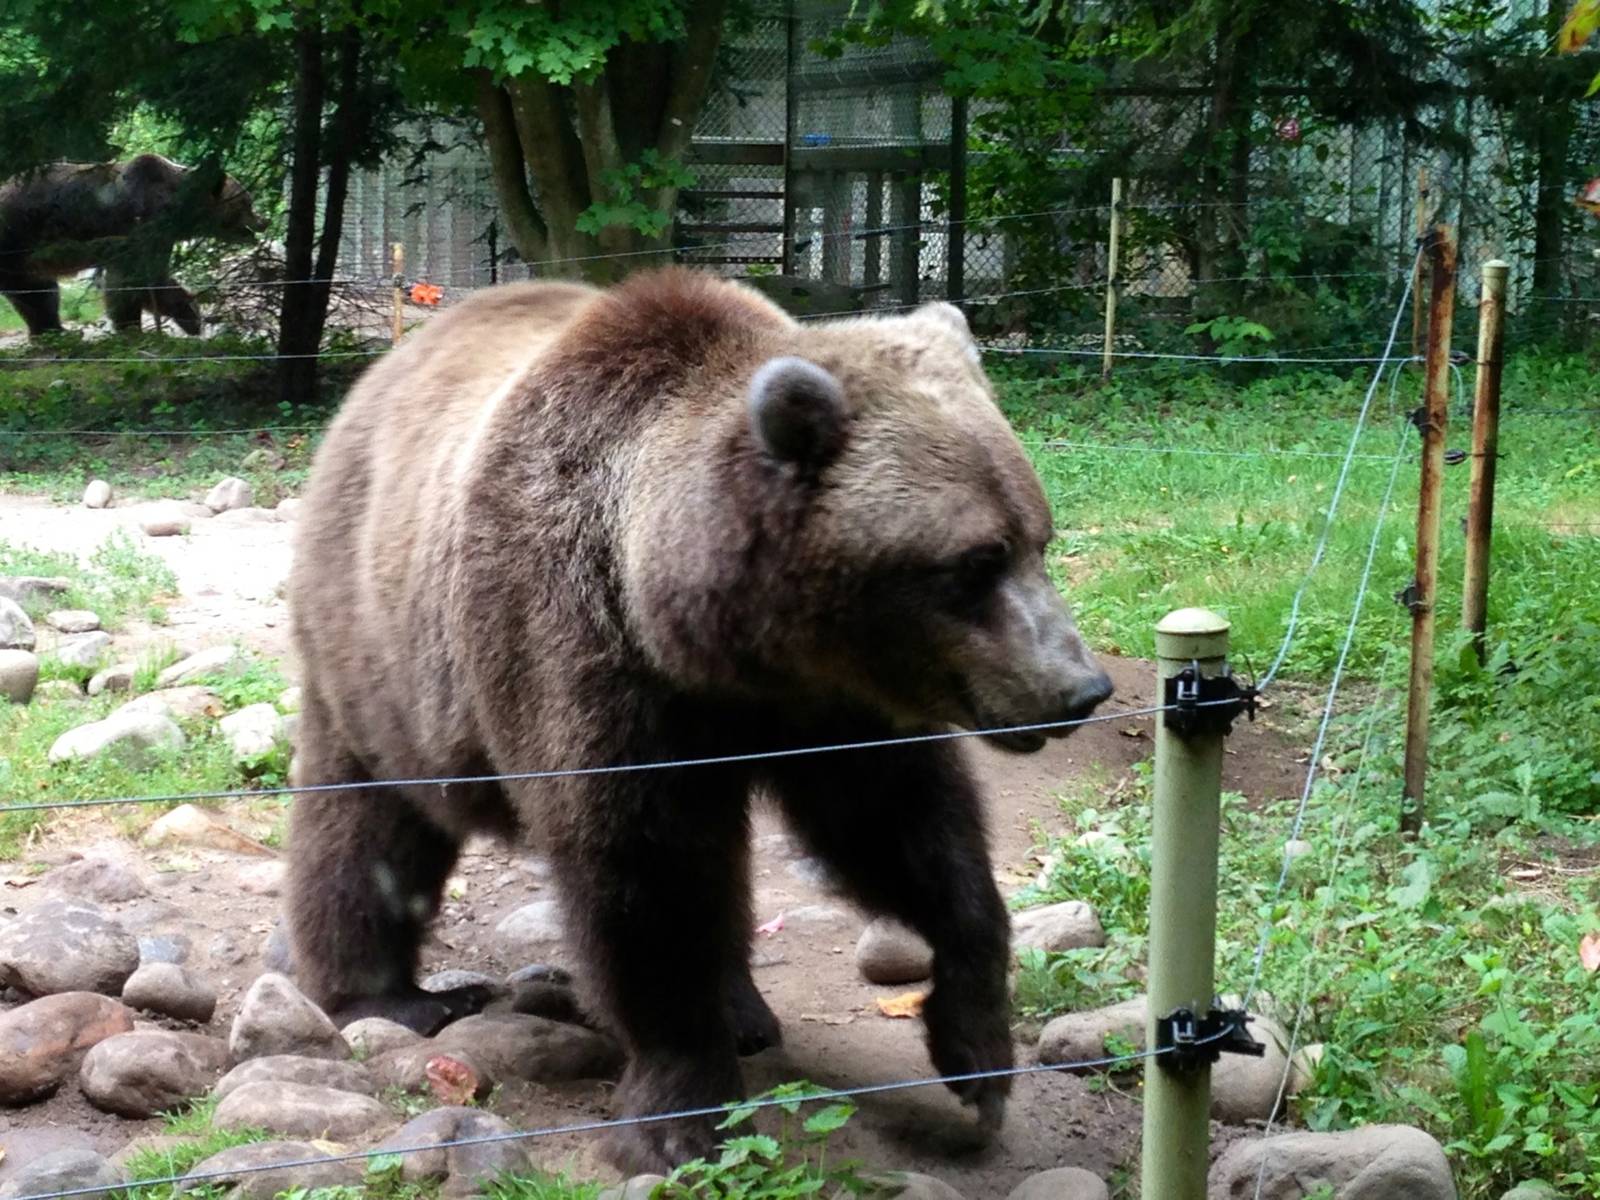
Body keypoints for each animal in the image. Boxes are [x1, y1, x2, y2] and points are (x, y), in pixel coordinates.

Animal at [0, 153, 265, 338]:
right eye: (247, 202)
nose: (264, 221)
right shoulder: (140, 222)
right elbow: (130, 281)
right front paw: (131, 326)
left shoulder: (159, 235)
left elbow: (153, 278)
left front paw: (190, 315)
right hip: (17, 239)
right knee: (33, 293)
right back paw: (51, 330)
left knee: (42, 292)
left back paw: (55, 331)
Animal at [284, 267, 1115, 1173]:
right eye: (974, 562)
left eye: (1038, 538)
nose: (1080, 688)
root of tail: (380, 378)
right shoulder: (580, 652)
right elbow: (646, 877)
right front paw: (680, 1115)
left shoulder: (828, 706)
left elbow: (902, 831)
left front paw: (977, 1058)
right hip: (375, 656)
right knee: (366, 828)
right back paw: (388, 997)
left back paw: (745, 1008)